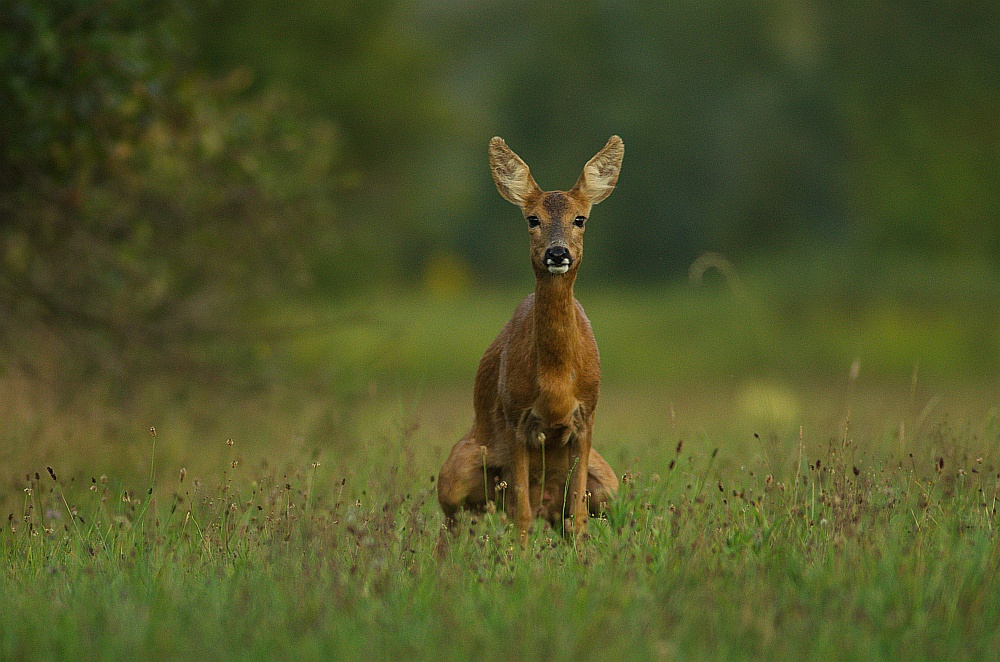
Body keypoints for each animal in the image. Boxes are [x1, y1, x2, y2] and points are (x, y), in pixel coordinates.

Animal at [440, 134, 624, 544]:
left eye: (580, 218)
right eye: (532, 219)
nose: (557, 252)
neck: (555, 386)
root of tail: (546, 503)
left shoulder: (587, 416)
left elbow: (578, 516)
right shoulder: (515, 416)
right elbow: (520, 514)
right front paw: (518, 559)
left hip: (608, 484)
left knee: (570, 514)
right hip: (454, 475)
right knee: (455, 522)